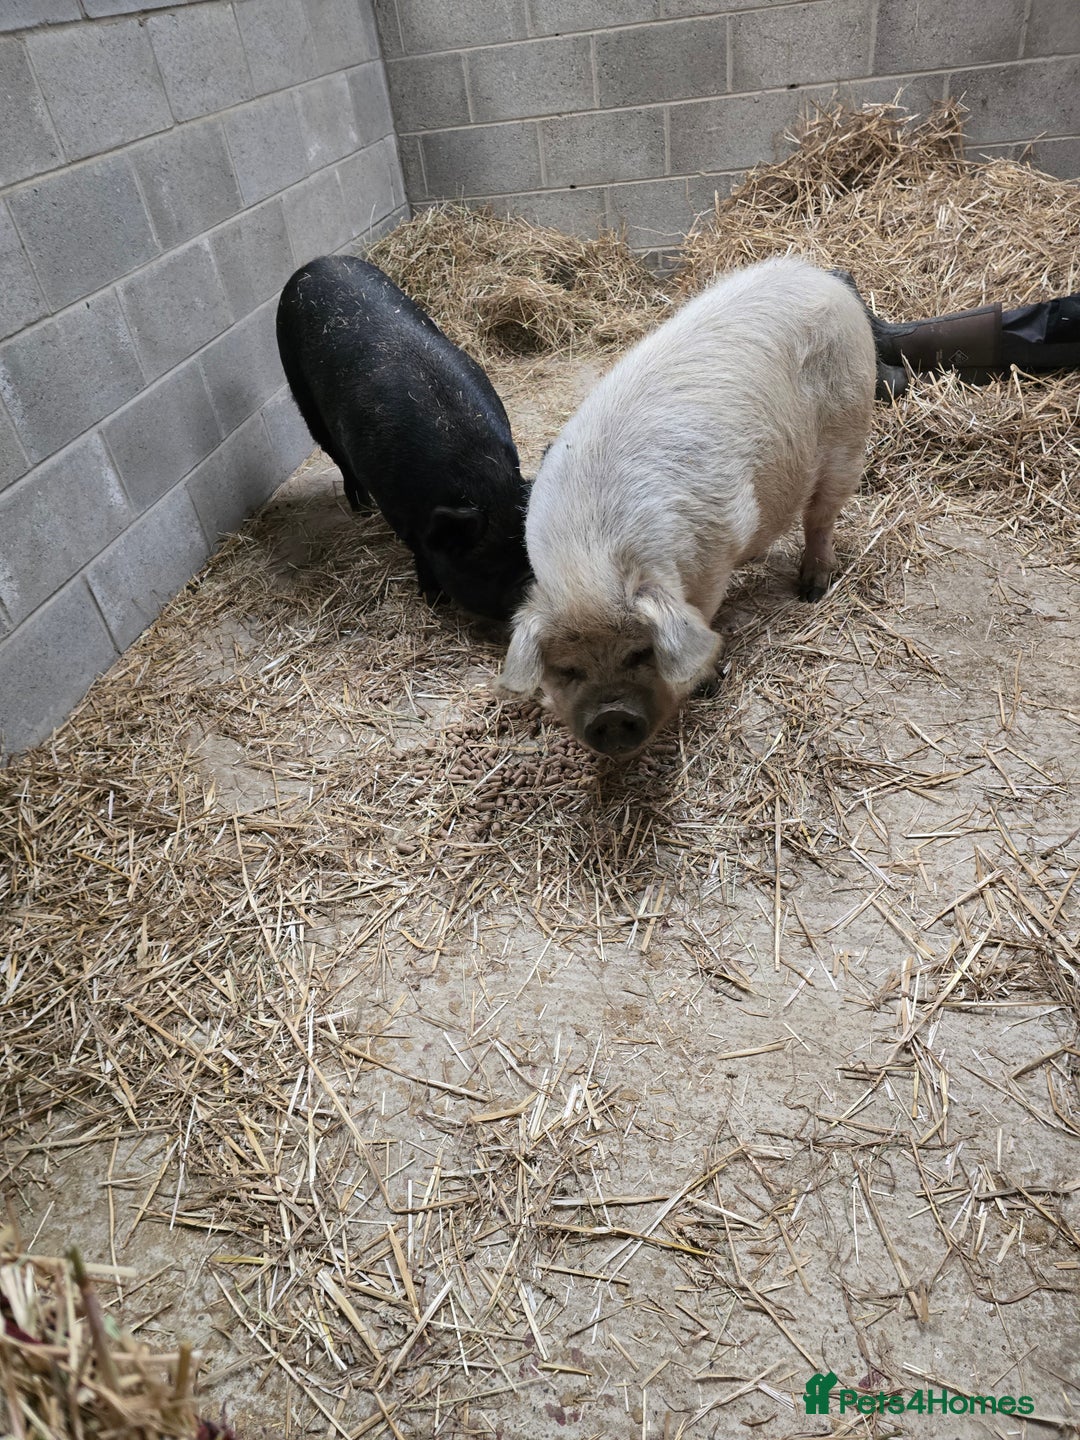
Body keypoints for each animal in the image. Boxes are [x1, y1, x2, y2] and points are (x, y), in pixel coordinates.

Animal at [276, 255, 531, 620]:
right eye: (488, 567)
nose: (529, 584)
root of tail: (318, 262)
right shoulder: (397, 508)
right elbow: (419, 550)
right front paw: (432, 597)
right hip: (301, 392)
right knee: (336, 456)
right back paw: (362, 509)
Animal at [498, 255, 876, 758]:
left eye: (641, 652)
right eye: (568, 669)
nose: (611, 716)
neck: (591, 554)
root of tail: (815, 273)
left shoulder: (716, 546)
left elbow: (705, 616)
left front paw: (708, 682)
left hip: (849, 429)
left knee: (822, 515)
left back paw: (812, 588)